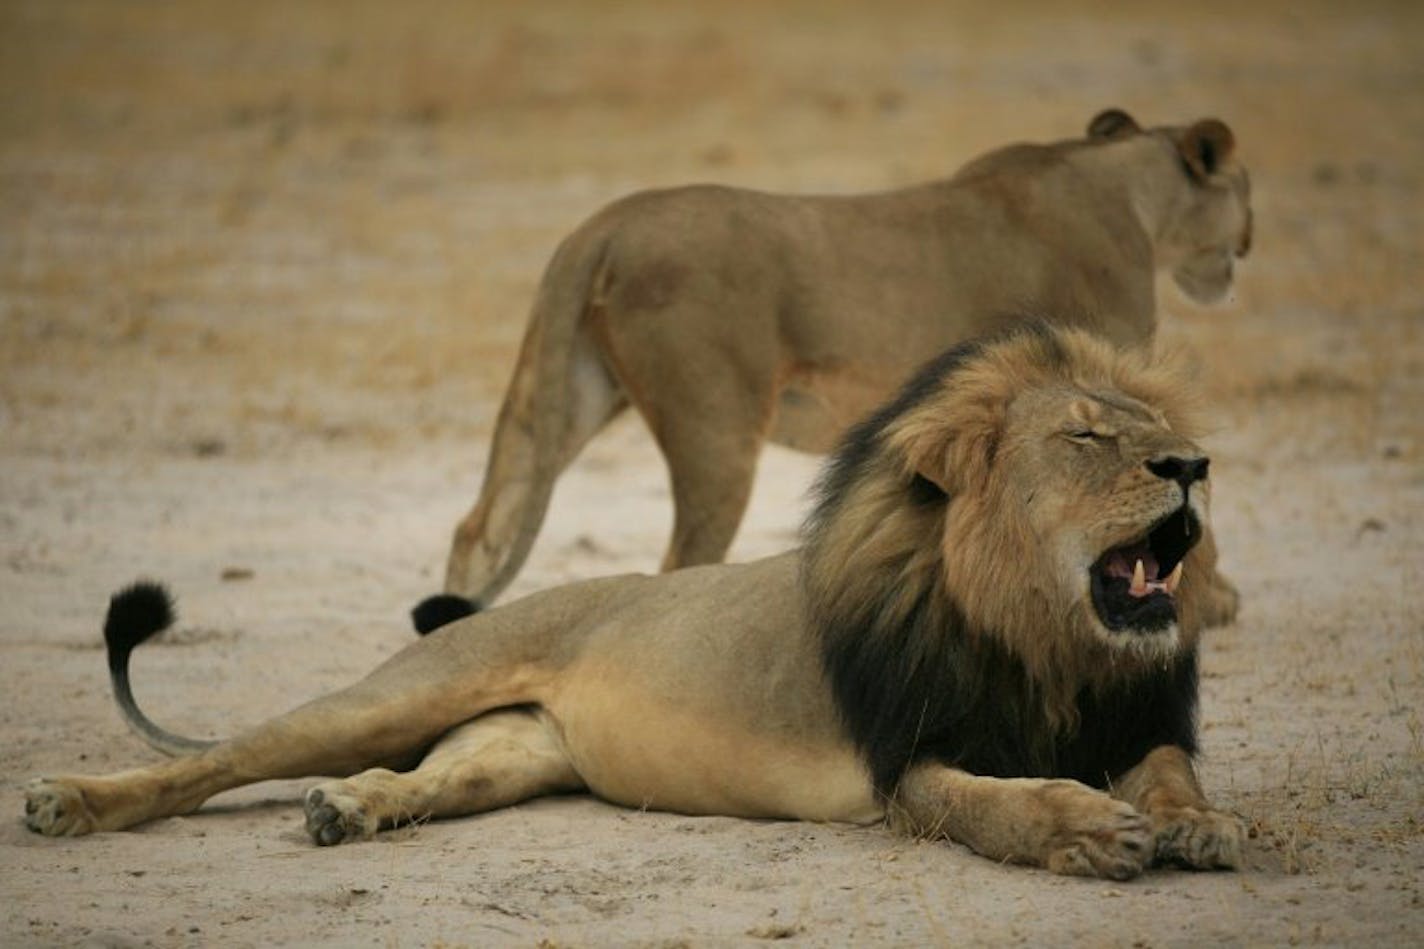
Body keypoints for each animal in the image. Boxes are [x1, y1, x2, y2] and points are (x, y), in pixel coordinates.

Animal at [27, 324, 1241, 877]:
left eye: (1153, 429)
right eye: (1086, 437)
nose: (1193, 465)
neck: (1046, 642)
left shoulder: (1133, 718)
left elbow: (1171, 773)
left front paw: (1200, 824)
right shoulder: (908, 760)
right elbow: (996, 803)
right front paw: (1085, 828)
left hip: (509, 752)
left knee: (418, 779)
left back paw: (349, 810)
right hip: (399, 692)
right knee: (215, 761)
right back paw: (70, 802)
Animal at [427, 106, 1253, 621]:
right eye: (1244, 190)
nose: (1248, 240)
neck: (1131, 192)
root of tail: (602, 225)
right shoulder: (1104, 375)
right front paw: (1211, 600)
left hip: (568, 391)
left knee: (481, 524)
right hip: (715, 427)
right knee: (679, 560)